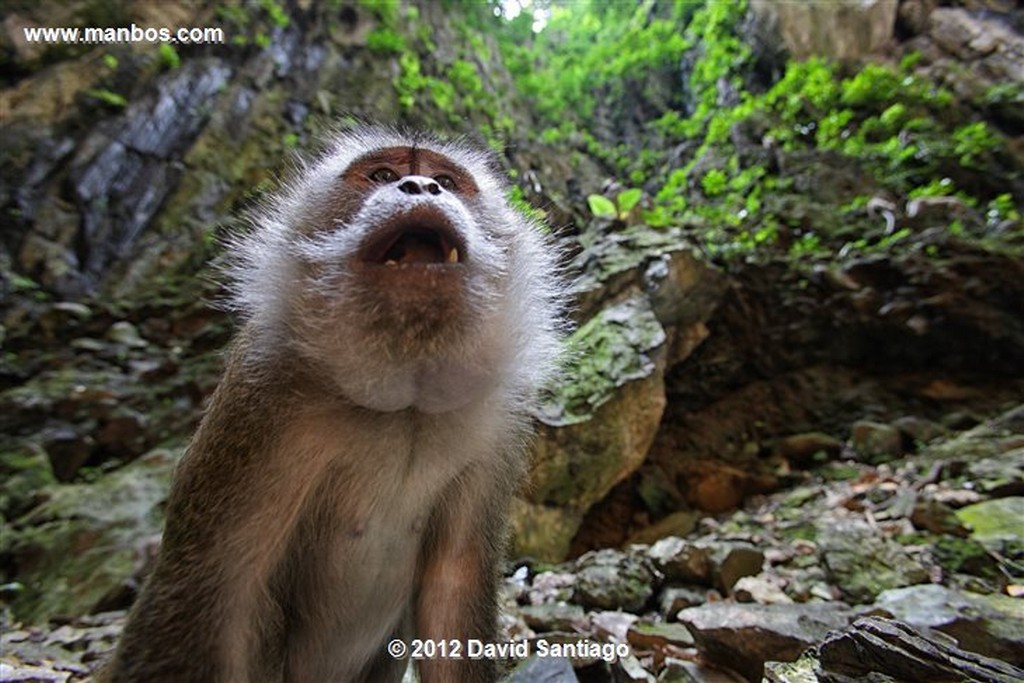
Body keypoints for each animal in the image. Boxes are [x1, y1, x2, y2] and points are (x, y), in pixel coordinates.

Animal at [98, 125, 565, 679]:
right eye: (382, 174)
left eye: (447, 181)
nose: (421, 187)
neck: (401, 408)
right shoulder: (260, 396)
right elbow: (209, 585)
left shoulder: (499, 427)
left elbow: (453, 587)